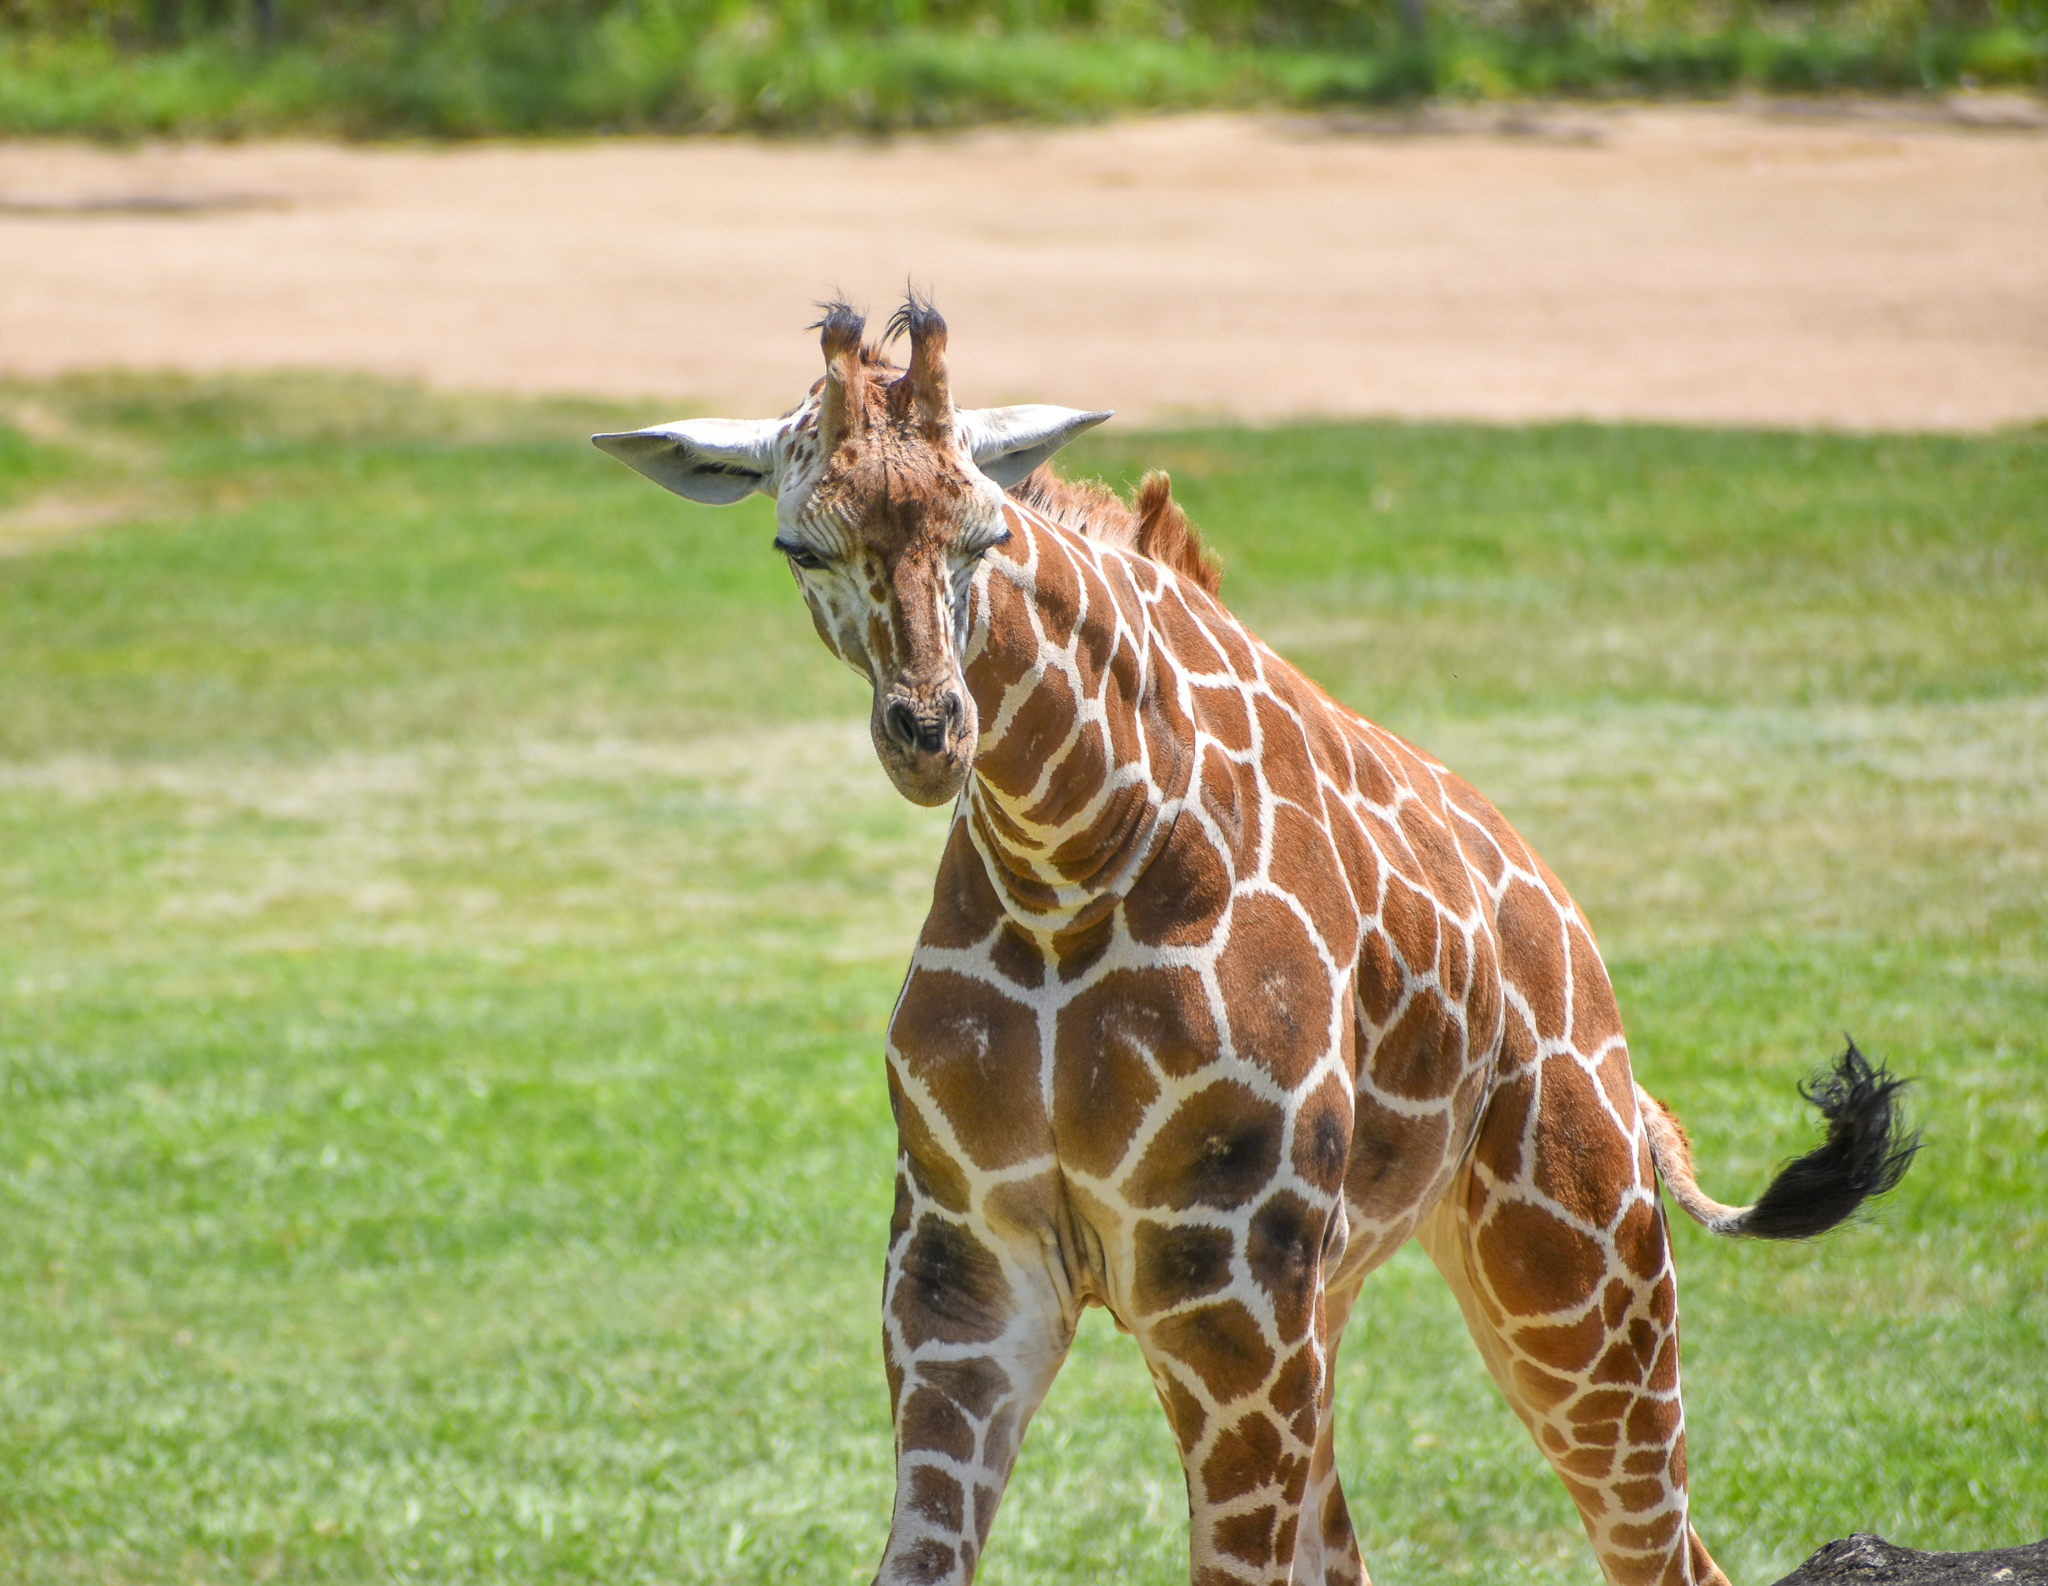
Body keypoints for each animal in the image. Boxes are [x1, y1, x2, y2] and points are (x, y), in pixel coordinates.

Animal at [593, 297, 1918, 1586]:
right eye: (798, 545)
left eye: (985, 533)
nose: (930, 732)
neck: (1067, 860)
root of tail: (1575, 954)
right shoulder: (961, 1272)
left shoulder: (1223, 1281)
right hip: (1341, 1300)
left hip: (1571, 1264)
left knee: (1666, 1549)